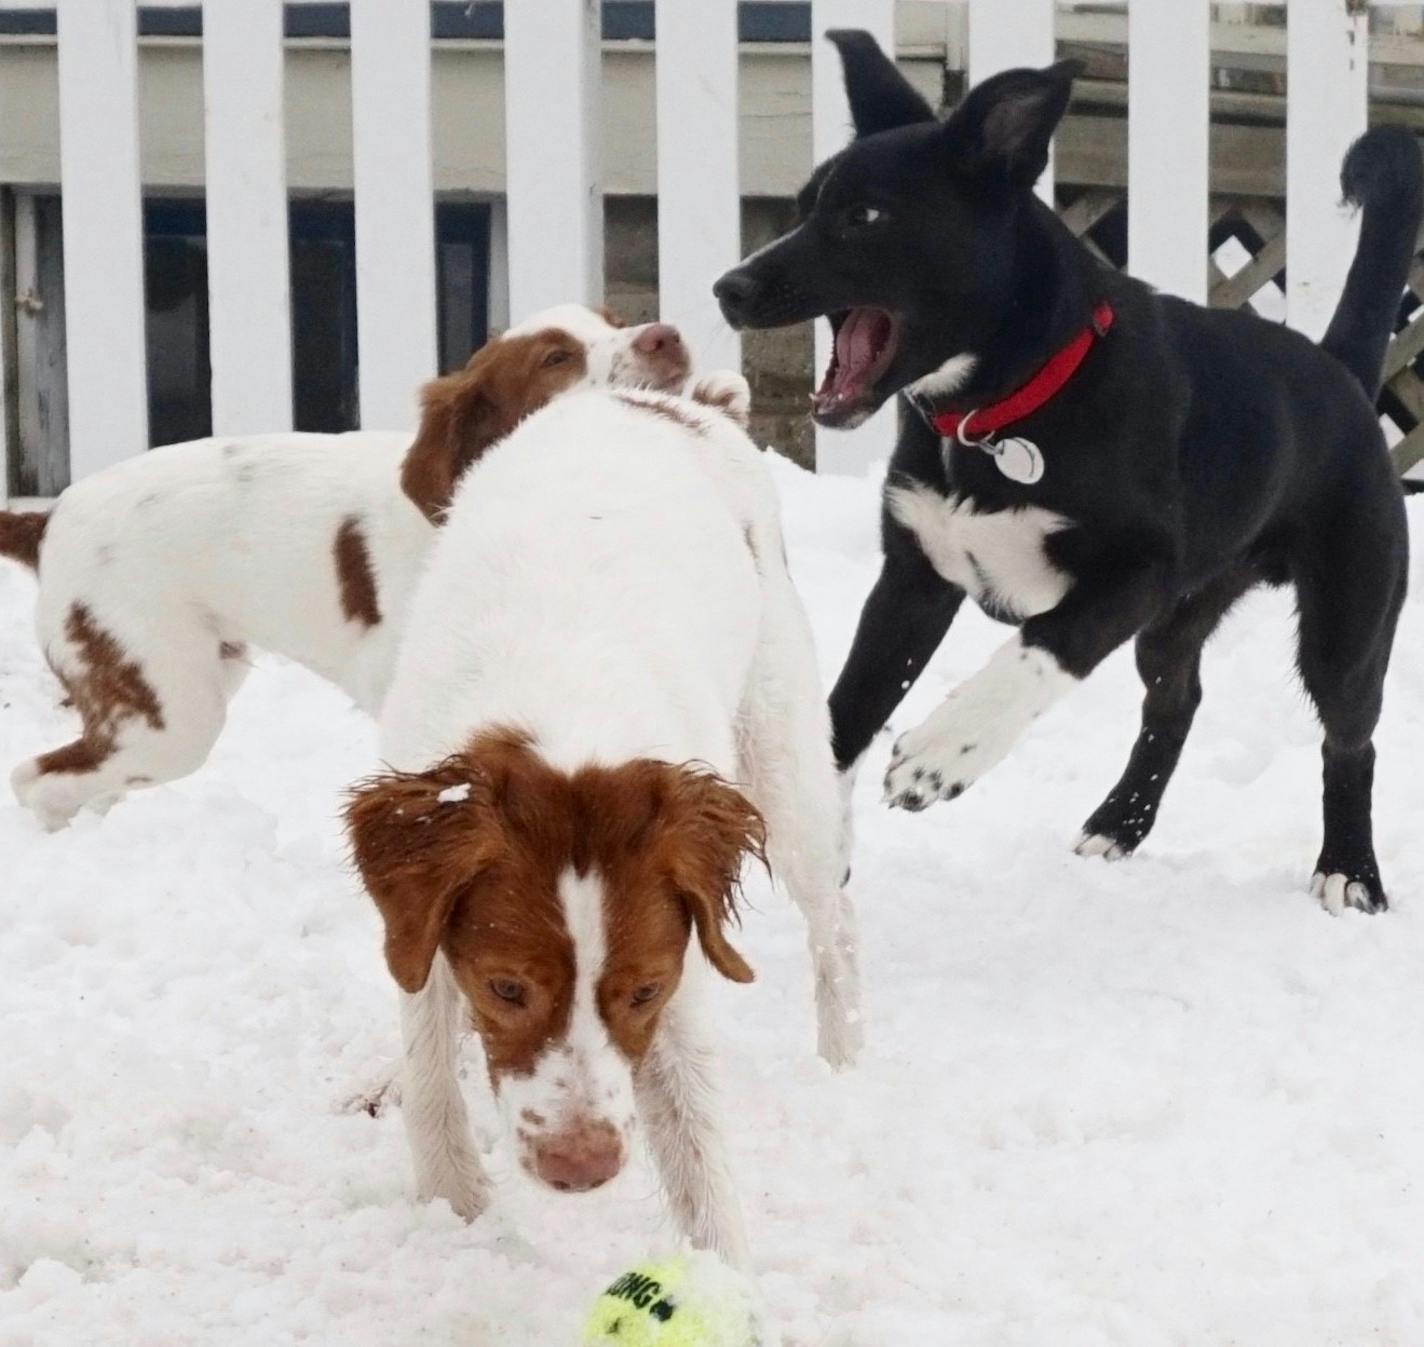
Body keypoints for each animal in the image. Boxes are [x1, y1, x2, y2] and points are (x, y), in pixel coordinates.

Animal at [2, 306, 746, 831]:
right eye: (556, 356)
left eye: (615, 321)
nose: (666, 336)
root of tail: (50, 518)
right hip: (168, 710)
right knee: (36, 776)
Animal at [717, 34, 1418, 911]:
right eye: (807, 203)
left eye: (866, 216)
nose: (729, 288)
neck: (996, 415)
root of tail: (1342, 371)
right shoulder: (913, 576)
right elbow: (850, 705)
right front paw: (821, 830)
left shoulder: (1136, 570)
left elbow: (1046, 643)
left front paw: (942, 753)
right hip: (1181, 615)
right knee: (1175, 700)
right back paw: (1120, 822)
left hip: (1347, 617)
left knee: (1351, 738)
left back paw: (1352, 870)